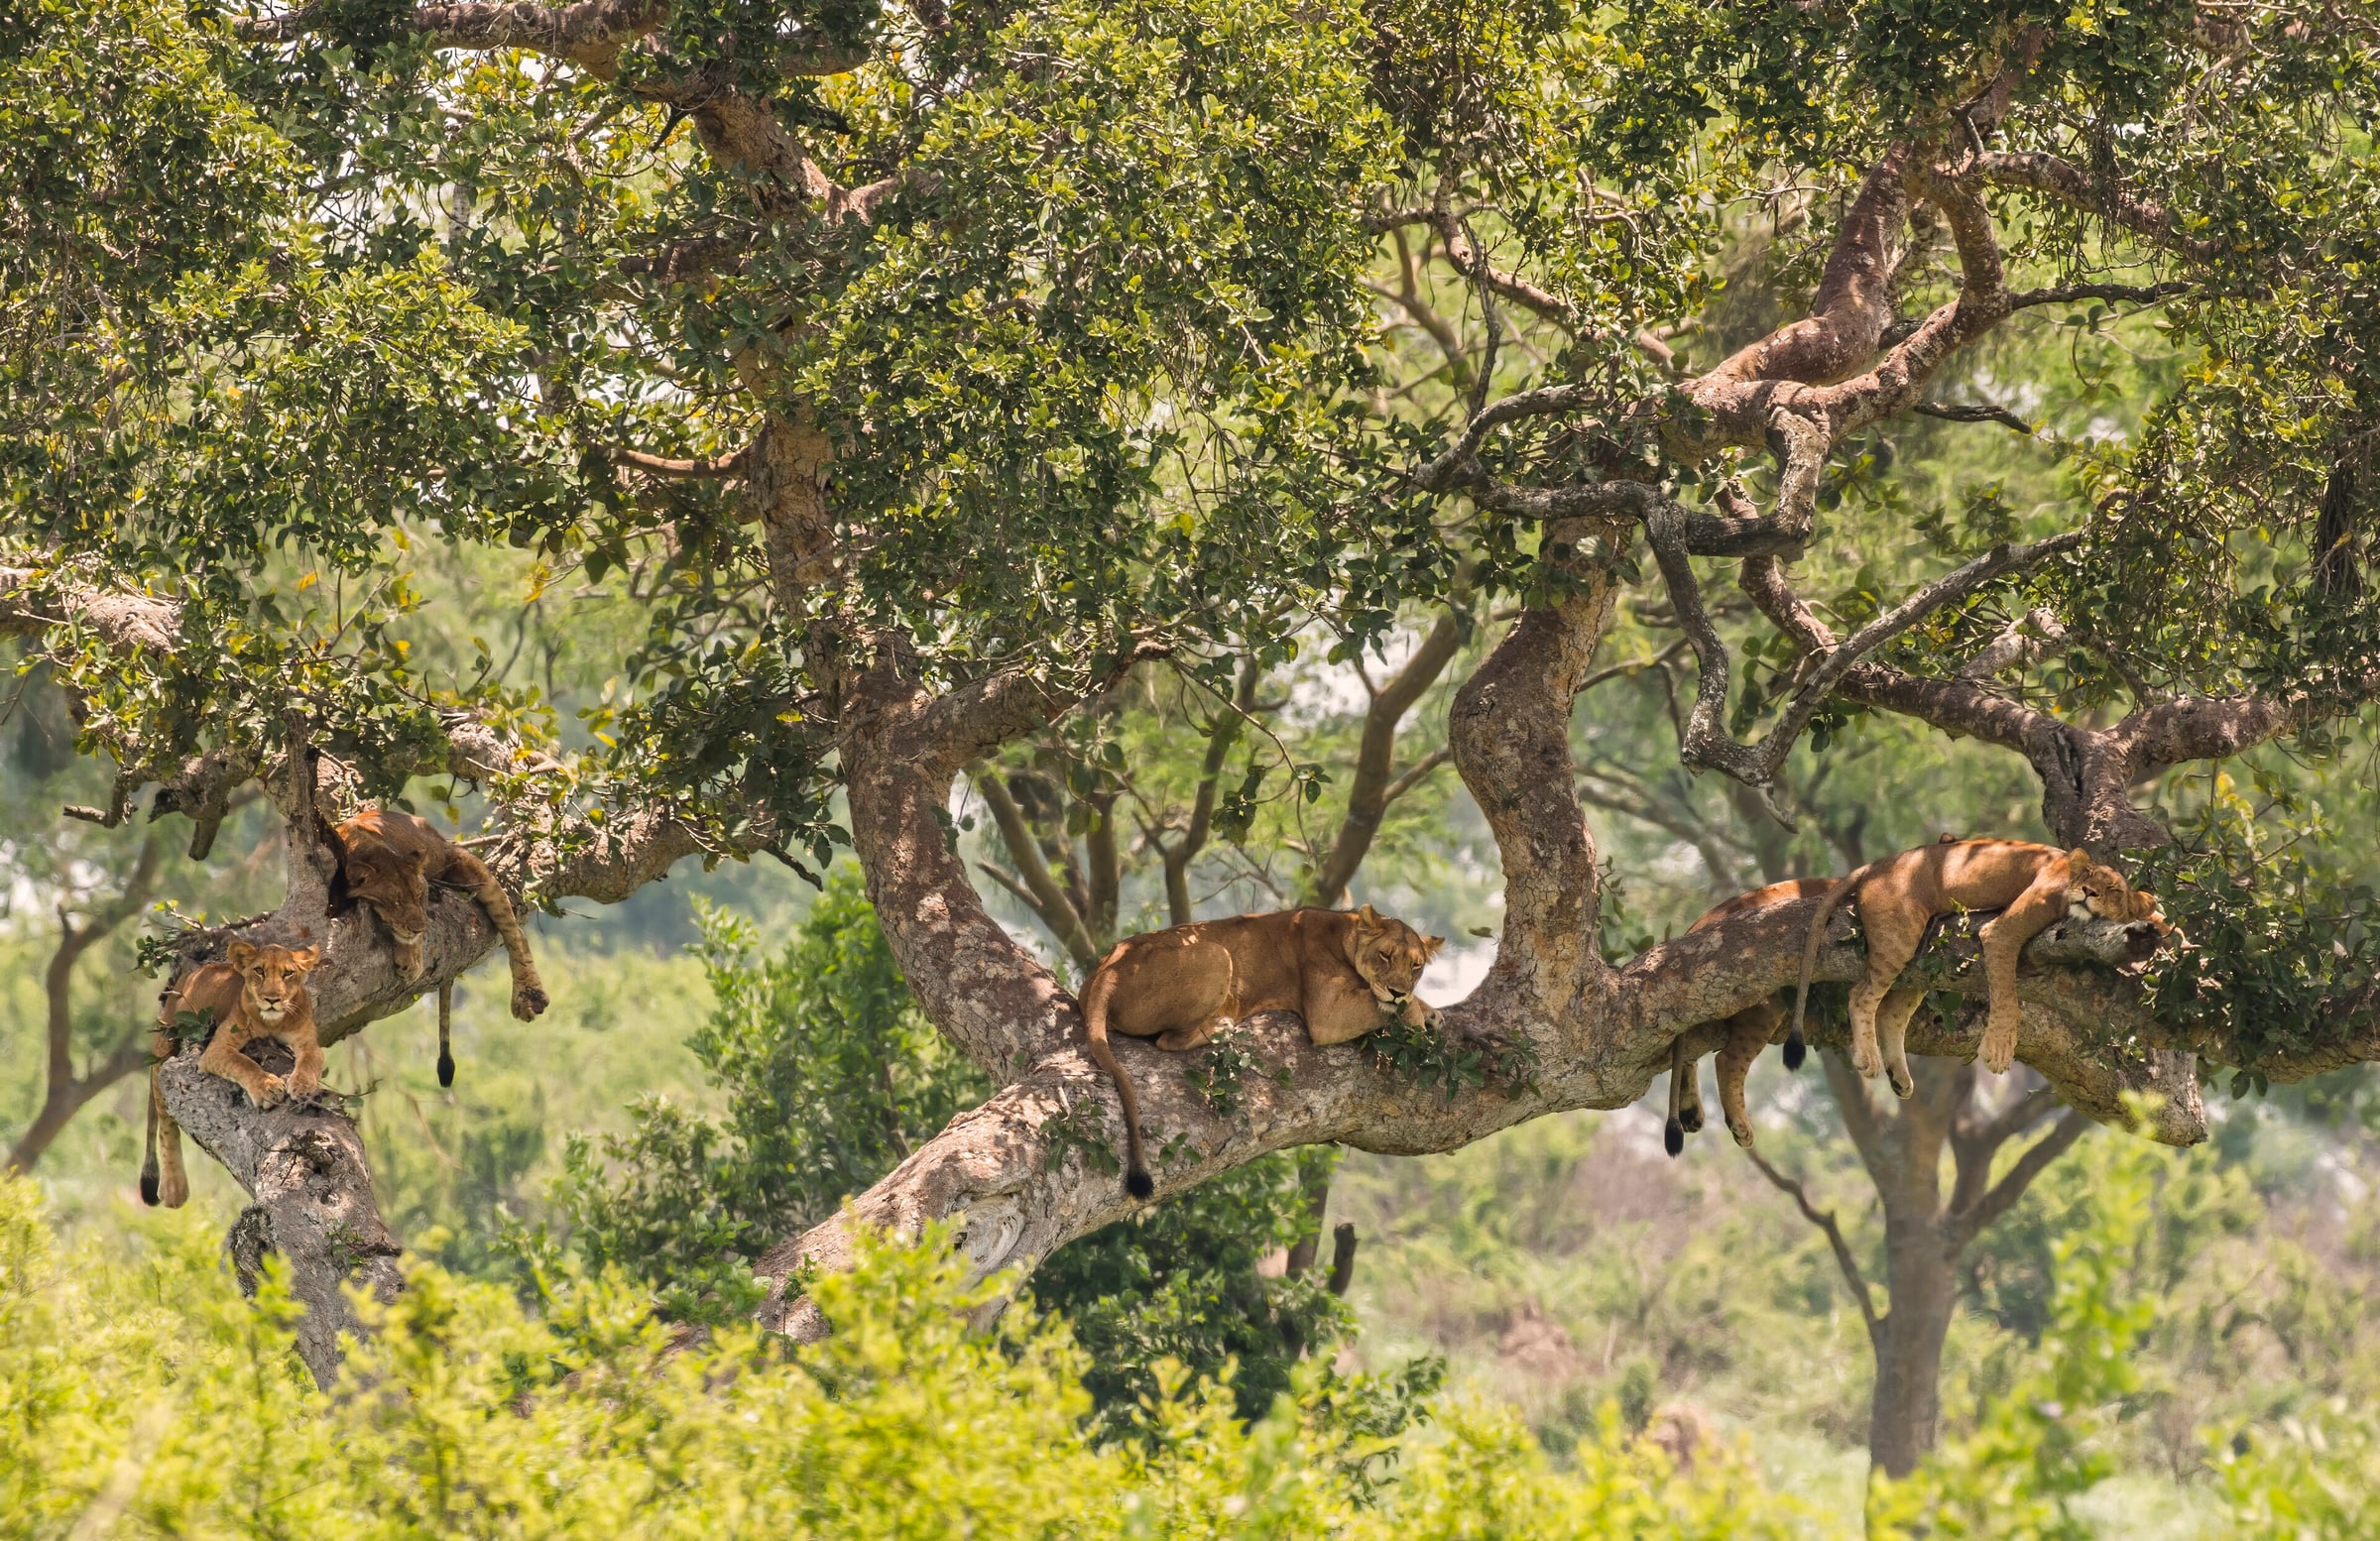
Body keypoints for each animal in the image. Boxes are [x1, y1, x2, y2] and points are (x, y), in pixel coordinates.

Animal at [141, 940, 323, 1208]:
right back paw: (174, 1189)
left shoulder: (308, 1042)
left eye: (288, 973)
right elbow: (243, 1063)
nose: (272, 999)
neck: (273, 1022)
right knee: (164, 1118)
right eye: (259, 971)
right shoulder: (217, 1048)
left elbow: (310, 1061)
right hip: (166, 1045)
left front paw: (302, 1086)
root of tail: (184, 978)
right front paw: (268, 1088)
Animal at [330, 806, 548, 1085]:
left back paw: (529, 997)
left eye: (418, 895)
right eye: (396, 902)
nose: (419, 927)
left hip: (470, 868)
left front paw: (411, 960)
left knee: (516, 933)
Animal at [1080, 904, 1444, 1198]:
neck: (1344, 932)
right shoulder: (1328, 1012)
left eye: (1416, 966)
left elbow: (1402, 1001)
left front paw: (1429, 1012)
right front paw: (1415, 1015)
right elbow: (1384, 1005)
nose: (1397, 990)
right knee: (1167, 1041)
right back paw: (1223, 1026)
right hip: (1216, 954)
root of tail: (1106, 970)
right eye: (1385, 956)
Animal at [1793, 838, 2167, 1087]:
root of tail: (1875, 864)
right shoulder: (2001, 931)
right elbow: (2008, 997)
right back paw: (1868, 1060)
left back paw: (1899, 1078)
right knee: (1861, 995)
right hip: (1899, 935)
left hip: (1920, 955)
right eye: (2086, 875)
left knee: (1890, 1012)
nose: (2089, 892)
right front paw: (1999, 1049)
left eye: (2114, 890)